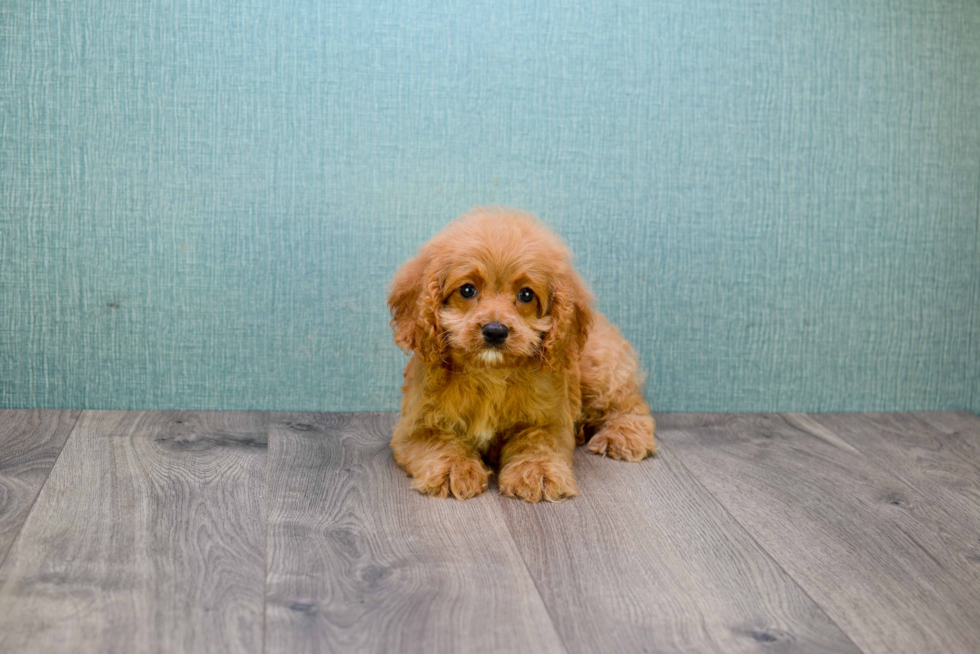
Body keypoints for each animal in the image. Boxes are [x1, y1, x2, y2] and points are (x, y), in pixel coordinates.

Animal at [386, 208, 656, 504]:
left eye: (526, 294)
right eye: (467, 290)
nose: (495, 330)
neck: (489, 374)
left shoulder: (549, 422)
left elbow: (536, 442)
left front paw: (537, 473)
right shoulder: (415, 427)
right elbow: (440, 442)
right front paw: (453, 469)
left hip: (599, 371)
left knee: (629, 404)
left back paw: (624, 435)